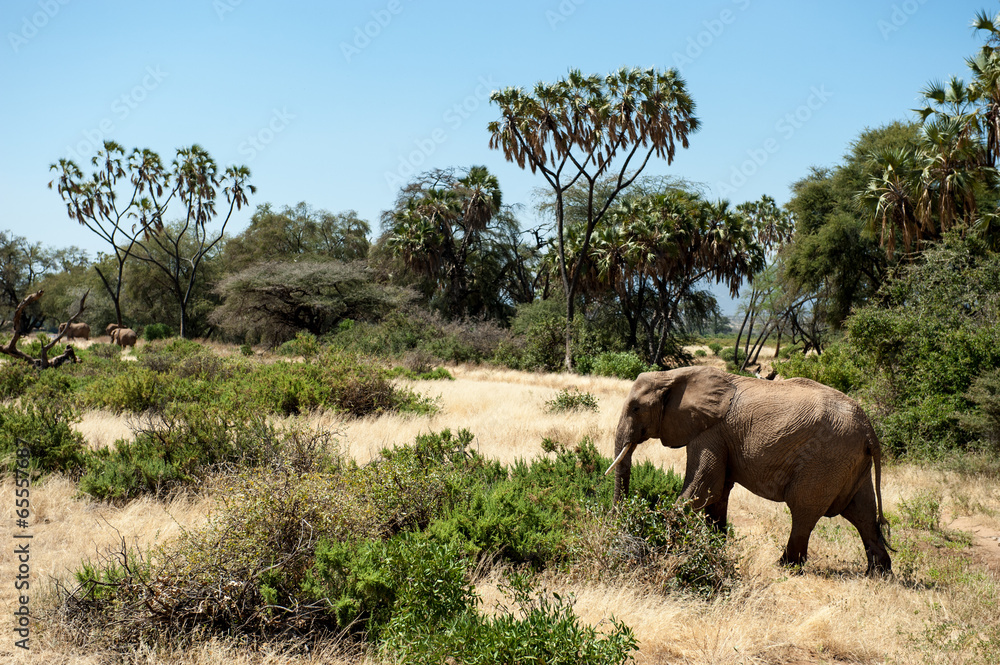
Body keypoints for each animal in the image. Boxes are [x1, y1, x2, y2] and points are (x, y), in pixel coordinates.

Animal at [606, 366, 892, 576]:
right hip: (852, 462)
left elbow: (704, 487)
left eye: (636, 408)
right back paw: (878, 574)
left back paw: (784, 566)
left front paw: (664, 544)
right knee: (863, 514)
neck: (671, 375)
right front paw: (715, 546)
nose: (620, 529)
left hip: (826, 459)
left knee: (804, 511)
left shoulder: (710, 431)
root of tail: (870, 430)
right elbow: (718, 493)